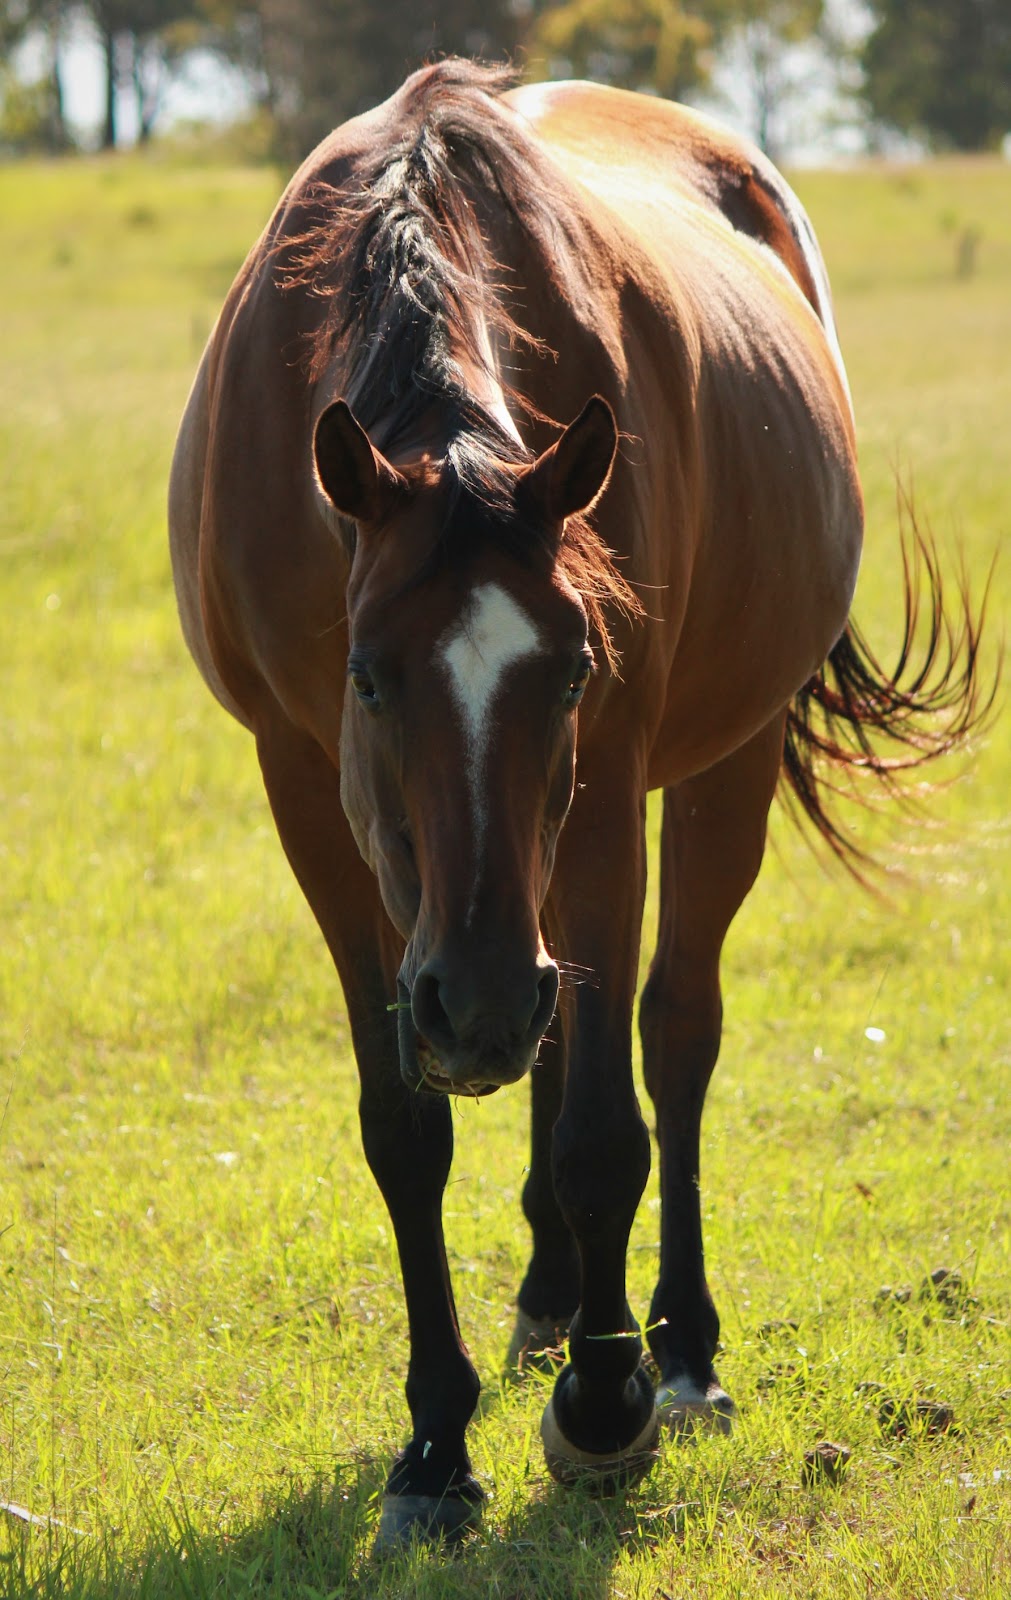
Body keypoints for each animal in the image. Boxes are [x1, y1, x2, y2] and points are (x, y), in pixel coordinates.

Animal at [169, 56, 991, 1542]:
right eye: (367, 677)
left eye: (568, 675)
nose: (476, 1004)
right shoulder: (307, 794)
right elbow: (404, 1128)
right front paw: (433, 1451)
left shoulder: (603, 778)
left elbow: (611, 1125)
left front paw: (607, 1406)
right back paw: (552, 1289)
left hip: (715, 771)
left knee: (670, 1036)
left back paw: (676, 1345)